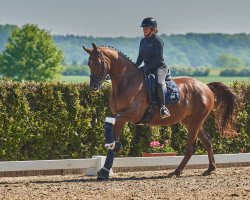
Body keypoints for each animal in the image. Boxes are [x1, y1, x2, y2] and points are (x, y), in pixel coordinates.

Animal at [82, 43, 236, 179]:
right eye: (89, 63)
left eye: (99, 62)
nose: (93, 86)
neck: (126, 82)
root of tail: (206, 86)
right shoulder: (120, 118)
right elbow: (110, 133)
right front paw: (105, 168)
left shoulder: (130, 114)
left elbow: (108, 120)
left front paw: (114, 147)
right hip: (191, 122)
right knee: (207, 141)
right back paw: (210, 169)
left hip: (195, 122)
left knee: (190, 147)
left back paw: (176, 172)